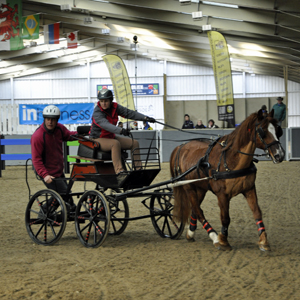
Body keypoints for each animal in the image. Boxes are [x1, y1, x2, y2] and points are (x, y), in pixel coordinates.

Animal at [170, 109, 284, 251]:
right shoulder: (222, 195)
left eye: (278, 129)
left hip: (200, 188)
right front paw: (223, 241)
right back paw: (214, 236)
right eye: (262, 130)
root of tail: (181, 147)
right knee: (198, 210)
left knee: (195, 209)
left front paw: (263, 241)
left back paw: (191, 233)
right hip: (188, 187)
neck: (231, 160)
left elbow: (257, 212)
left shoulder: (249, 189)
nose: (280, 155)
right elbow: (225, 218)